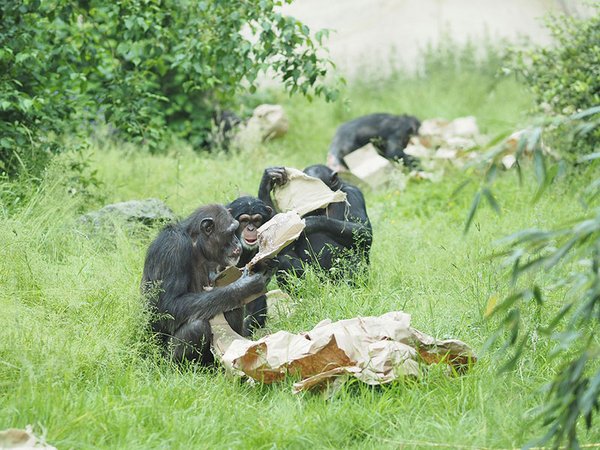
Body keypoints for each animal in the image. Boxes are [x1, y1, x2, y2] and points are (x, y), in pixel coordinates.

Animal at [141, 206, 272, 364]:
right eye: (231, 232)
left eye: (235, 231)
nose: (237, 242)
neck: (196, 245)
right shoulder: (172, 248)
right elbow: (169, 304)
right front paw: (245, 286)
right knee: (196, 327)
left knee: (231, 307)